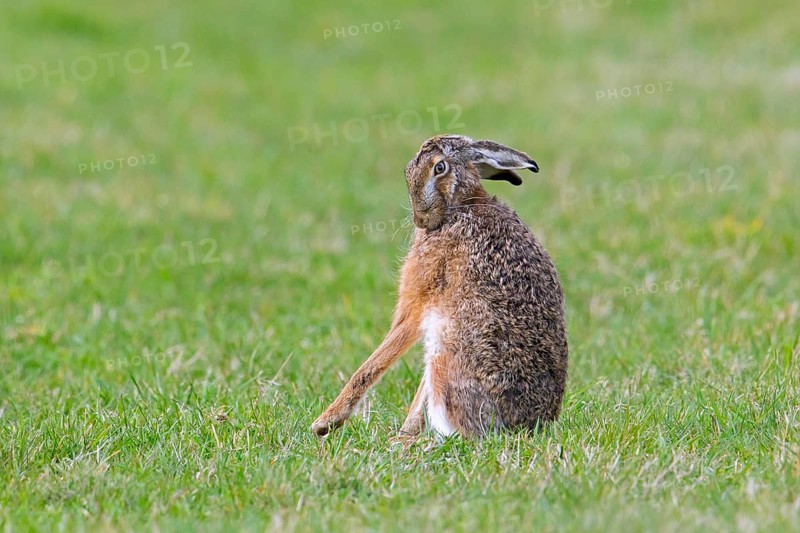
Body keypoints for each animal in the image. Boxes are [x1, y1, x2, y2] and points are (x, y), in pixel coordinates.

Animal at [311, 134, 568, 440]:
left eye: (440, 168)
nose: (420, 219)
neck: (458, 207)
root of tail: (525, 426)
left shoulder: (417, 304)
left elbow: (373, 363)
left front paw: (325, 423)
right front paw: (404, 432)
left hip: (445, 354)